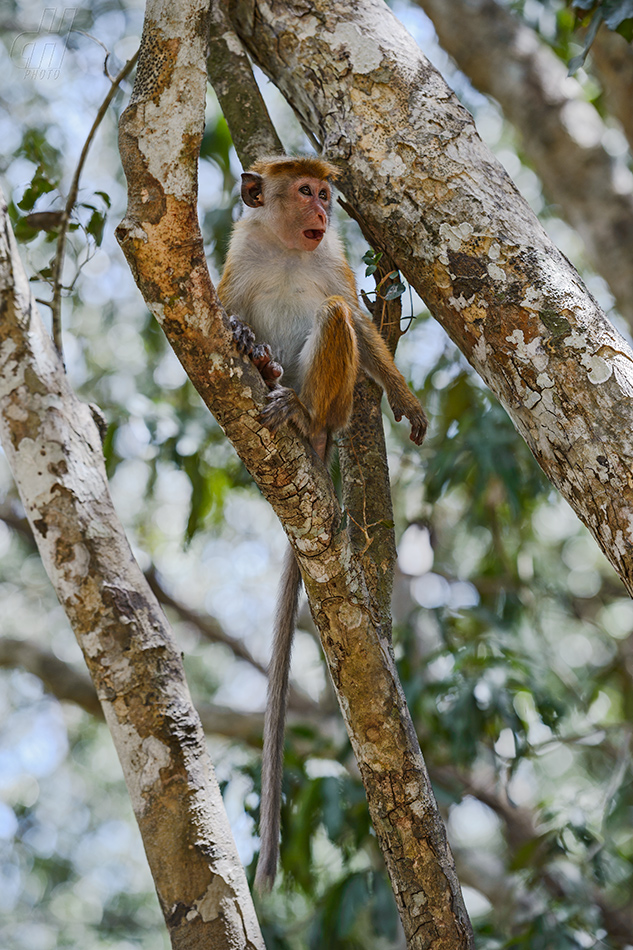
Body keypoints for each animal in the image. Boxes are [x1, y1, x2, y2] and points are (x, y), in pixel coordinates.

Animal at [216, 152, 424, 888]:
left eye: (325, 194)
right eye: (304, 189)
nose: (326, 207)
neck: (286, 246)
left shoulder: (331, 255)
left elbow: (356, 321)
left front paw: (408, 403)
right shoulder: (240, 249)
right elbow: (217, 312)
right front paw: (237, 333)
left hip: (334, 404)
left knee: (333, 317)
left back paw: (296, 407)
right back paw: (259, 359)